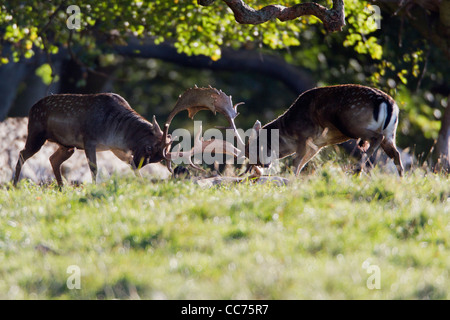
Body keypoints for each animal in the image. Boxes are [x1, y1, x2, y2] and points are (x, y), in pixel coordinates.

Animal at [12, 87, 241, 188]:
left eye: (157, 159)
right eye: (149, 148)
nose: (137, 163)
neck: (114, 130)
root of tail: (32, 108)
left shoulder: (118, 149)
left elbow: (129, 169)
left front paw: (141, 183)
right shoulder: (89, 140)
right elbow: (94, 169)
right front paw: (95, 187)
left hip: (67, 145)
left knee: (53, 159)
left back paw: (62, 187)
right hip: (37, 133)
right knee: (22, 153)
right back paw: (14, 185)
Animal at [246, 84, 404, 176]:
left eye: (254, 148)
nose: (254, 167)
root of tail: (389, 104)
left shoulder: (304, 136)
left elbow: (296, 161)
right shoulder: (318, 144)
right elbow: (303, 163)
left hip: (352, 123)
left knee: (376, 138)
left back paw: (357, 170)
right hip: (391, 133)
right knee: (395, 154)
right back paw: (401, 180)